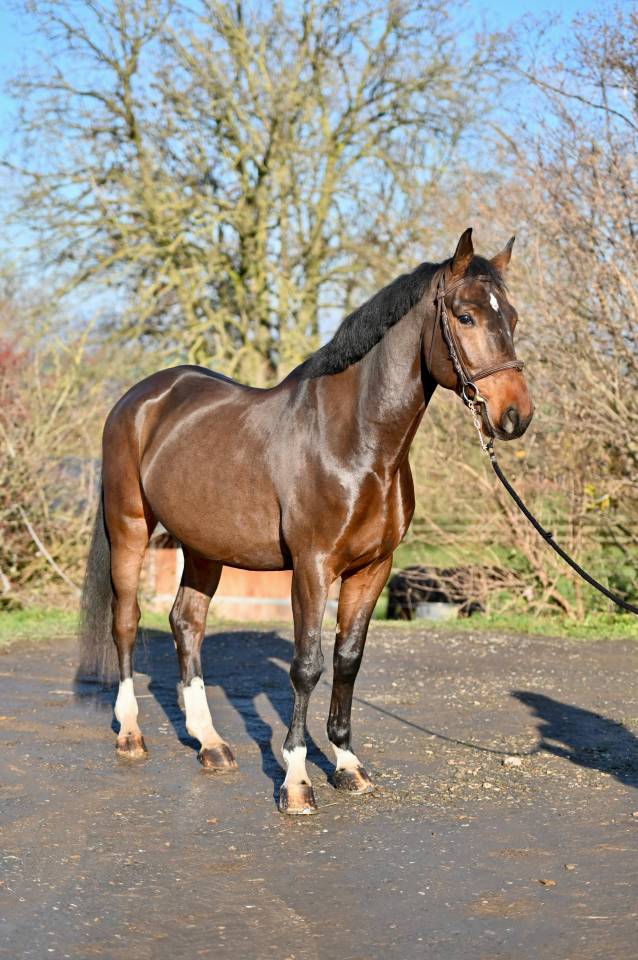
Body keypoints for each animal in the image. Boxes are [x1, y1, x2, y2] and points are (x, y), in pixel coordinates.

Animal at [78, 227, 533, 815]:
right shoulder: (313, 568)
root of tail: (138, 398)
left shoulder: (373, 569)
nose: (516, 415)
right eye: (466, 316)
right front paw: (296, 782)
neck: (357, 443)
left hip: (203, 547)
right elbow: (307, 666)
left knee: (186, 624)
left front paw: (347, 764)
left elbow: (348, 659)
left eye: (513, 318)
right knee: (127, 622)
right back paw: (132, 734)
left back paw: (211, 744)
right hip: (129, 529)